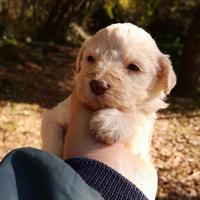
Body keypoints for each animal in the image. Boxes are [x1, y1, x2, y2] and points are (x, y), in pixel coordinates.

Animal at [41, 23, 176, 161]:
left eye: (133, 67)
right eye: (90, 58)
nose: (97, 86)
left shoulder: (141, 143)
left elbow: (137, 119)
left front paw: (113, 122)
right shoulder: (52, 117)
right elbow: (52, 144)